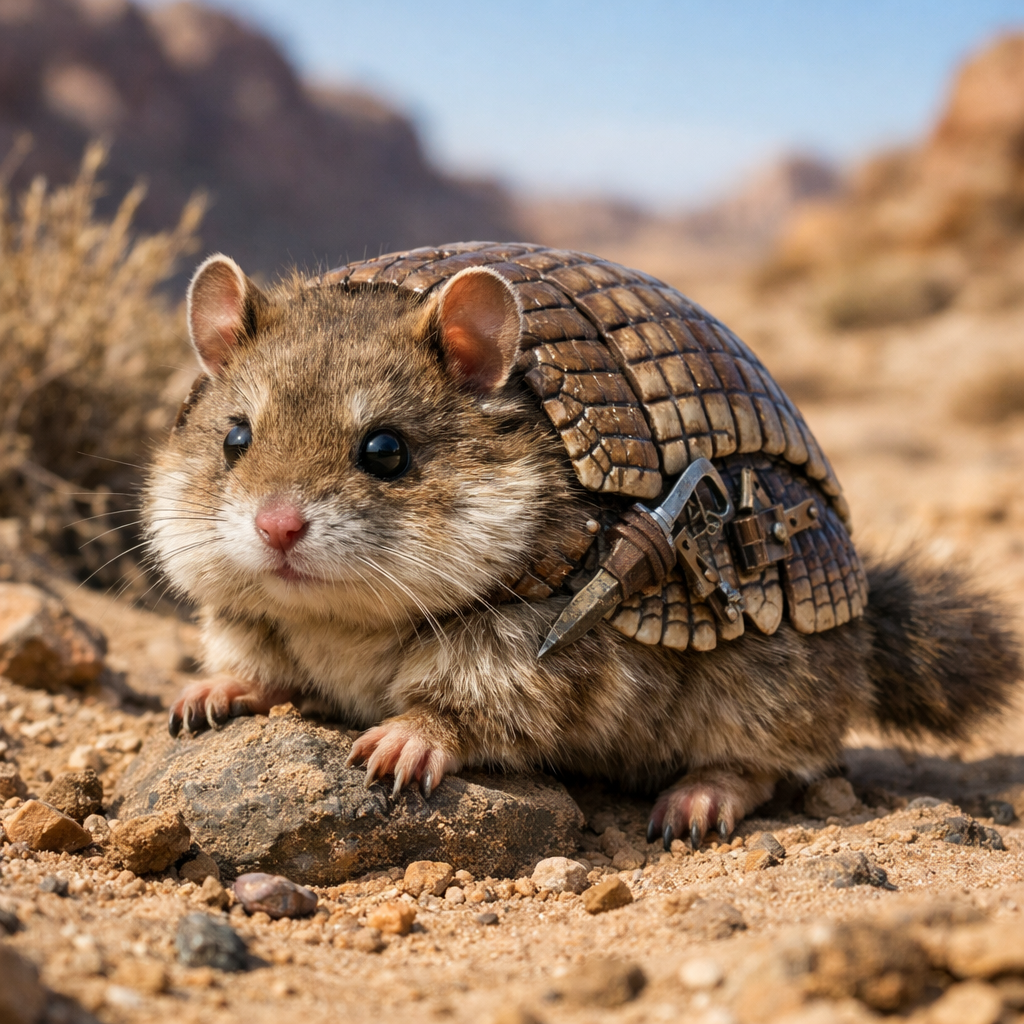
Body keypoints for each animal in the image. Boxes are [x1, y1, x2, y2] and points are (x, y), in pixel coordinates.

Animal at [145, 252, 1020, 847]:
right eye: (234, 438)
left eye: (386, 450)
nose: (277, 528)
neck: (344, 627)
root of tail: (867, 618)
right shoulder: (242, 619)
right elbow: (253, 663)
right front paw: (204, 698)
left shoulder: (532, 655)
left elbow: (464, 708)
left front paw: (398, 744)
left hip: (769, 678)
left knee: (767, 762)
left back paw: (693, 805)